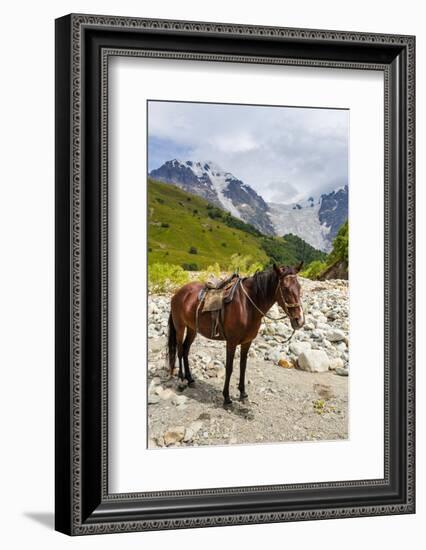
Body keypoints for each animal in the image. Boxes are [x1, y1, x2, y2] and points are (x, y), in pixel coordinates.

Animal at [168, 266, 304, 408]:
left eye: (299, 287)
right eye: (285, 288)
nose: (299, 320)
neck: (247, 305)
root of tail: (179, 293)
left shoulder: (247, 342)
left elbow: (243, 366)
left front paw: (243, 394)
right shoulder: (231, 342)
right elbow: (229, 368)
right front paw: (227, 397)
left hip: (192, 329)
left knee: (185, 350)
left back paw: (190, 379)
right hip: (180, 327)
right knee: (179, 351)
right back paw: (181, 381)